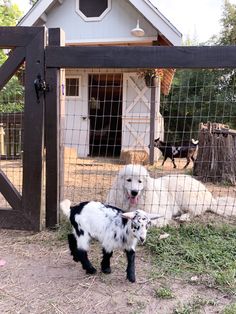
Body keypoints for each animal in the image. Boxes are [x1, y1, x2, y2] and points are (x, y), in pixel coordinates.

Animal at [107, 163, 236, 227]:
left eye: (140, 181)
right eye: (128, 180)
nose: (134, 192)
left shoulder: (160, 212)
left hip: (185, 196)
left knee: (195, 211)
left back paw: (183, 217)